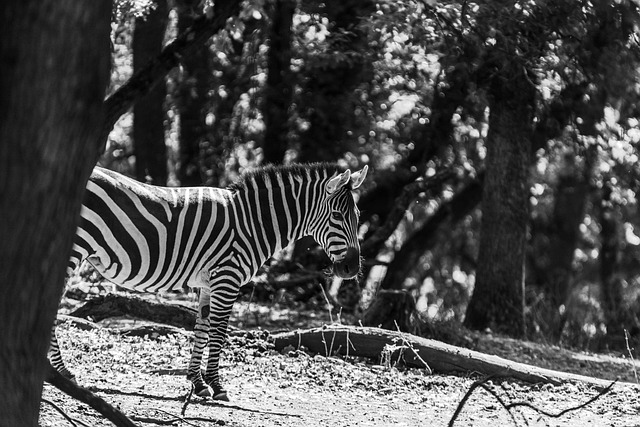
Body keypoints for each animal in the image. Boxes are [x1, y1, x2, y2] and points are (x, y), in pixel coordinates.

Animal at [49, 162, 368, 400]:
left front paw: (198, 383)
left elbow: (201, 329)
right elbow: (218, 332)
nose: (351, 268)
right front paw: (217, 385)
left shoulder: (208, 281)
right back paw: (61, 373)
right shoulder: (228, 277)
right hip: (73, 248)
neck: (252, 223)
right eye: (337, 216)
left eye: (357, 215)